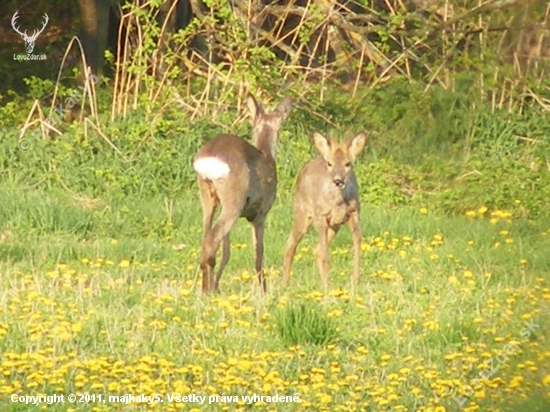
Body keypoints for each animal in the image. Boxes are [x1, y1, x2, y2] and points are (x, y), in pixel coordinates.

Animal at [193, 93, 294, 292]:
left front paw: (218, 284)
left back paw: (205, 289)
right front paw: (264, 290)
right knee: (210, 242)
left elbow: (226, 252)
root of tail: (210, 158)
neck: (266, 154)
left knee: (205, 239)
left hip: (209, 197)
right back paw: (208, 292)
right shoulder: (261, 212)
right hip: (234, 200)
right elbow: (258, 253)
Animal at [282, 130, 368, 288]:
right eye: (329, 163)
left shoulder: (353, 213)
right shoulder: (320, 216)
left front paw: (355, 279)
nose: (338, 180)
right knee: (291, 243)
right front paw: (327, 289)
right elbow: (325, 257)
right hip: (302, 214)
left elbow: (358, 240)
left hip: (334, 225)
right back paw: (285, 285)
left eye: (348, 163)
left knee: (315, 249)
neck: (338, 202)